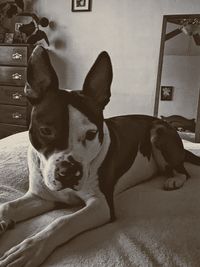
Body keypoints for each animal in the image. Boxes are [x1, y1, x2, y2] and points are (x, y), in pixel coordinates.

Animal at [0, 46, 200, 266]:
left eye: (91, 134)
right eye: (45, 131)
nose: (68, 172)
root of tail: (162, 121)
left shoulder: (101, 205)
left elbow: (62, 222)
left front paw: (30, 249)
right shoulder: (42, 197)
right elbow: (7, 205)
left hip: (158, 134)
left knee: (183, 170)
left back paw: (174, 179)